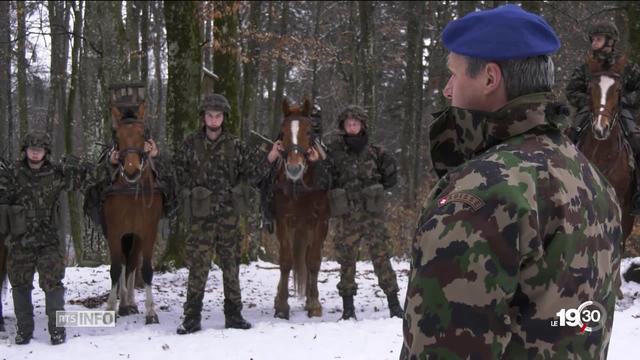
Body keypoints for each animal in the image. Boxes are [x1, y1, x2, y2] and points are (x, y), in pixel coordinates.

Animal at [102, 86, 162, 324]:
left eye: (143, 134)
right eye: (117, 136)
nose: (131, 171)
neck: (131, 192)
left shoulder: (147, 231)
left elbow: (144, 269)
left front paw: (151, 311)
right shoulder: (114, 231)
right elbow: (115, 268)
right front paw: (111, 307)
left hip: (135, 235)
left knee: (132, 264)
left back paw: (130, 302)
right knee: (124, 265)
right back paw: (123, 303)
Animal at [272, 97, 330, 318]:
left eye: (308, 132)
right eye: (282, 133)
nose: (294, 168)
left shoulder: (320, 221)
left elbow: (313, 261)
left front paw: (313, 303)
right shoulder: (283, 220)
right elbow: (285, 261)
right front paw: (281, 304)